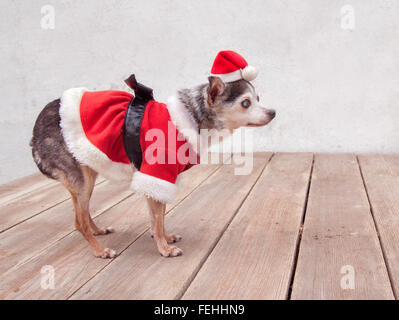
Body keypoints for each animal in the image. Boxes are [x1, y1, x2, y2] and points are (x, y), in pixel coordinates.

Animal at [31, 51, 276, 258]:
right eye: (246, 103)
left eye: (259, 98)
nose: (273, 112)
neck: (188, 119)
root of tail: (35, 131)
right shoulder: (156, 172)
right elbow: (157, 218)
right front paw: (164, 248)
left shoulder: (161, 180)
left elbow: (158, 215)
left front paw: (166, 238)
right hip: (79, 178)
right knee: (78, 221)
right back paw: (99, 250)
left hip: (88, 172)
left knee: (83, 212)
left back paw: (97, 230)